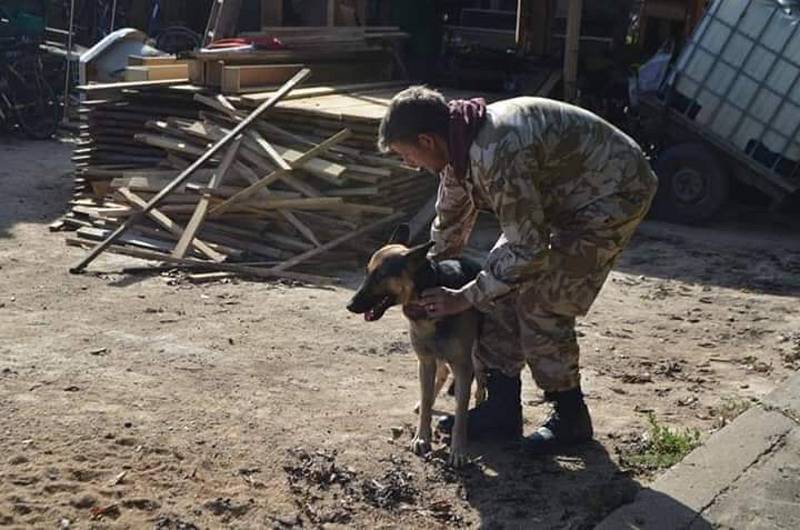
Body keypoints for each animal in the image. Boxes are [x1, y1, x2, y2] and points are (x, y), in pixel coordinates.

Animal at [344, 225, 482, 464]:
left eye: (381, 275)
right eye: (367, 272)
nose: (350, 305)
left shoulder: (463, 366)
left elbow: (461, 411)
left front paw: (458, 450)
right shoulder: (425, 361)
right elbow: (426, 401)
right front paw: (421, 437)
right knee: (442, 372)